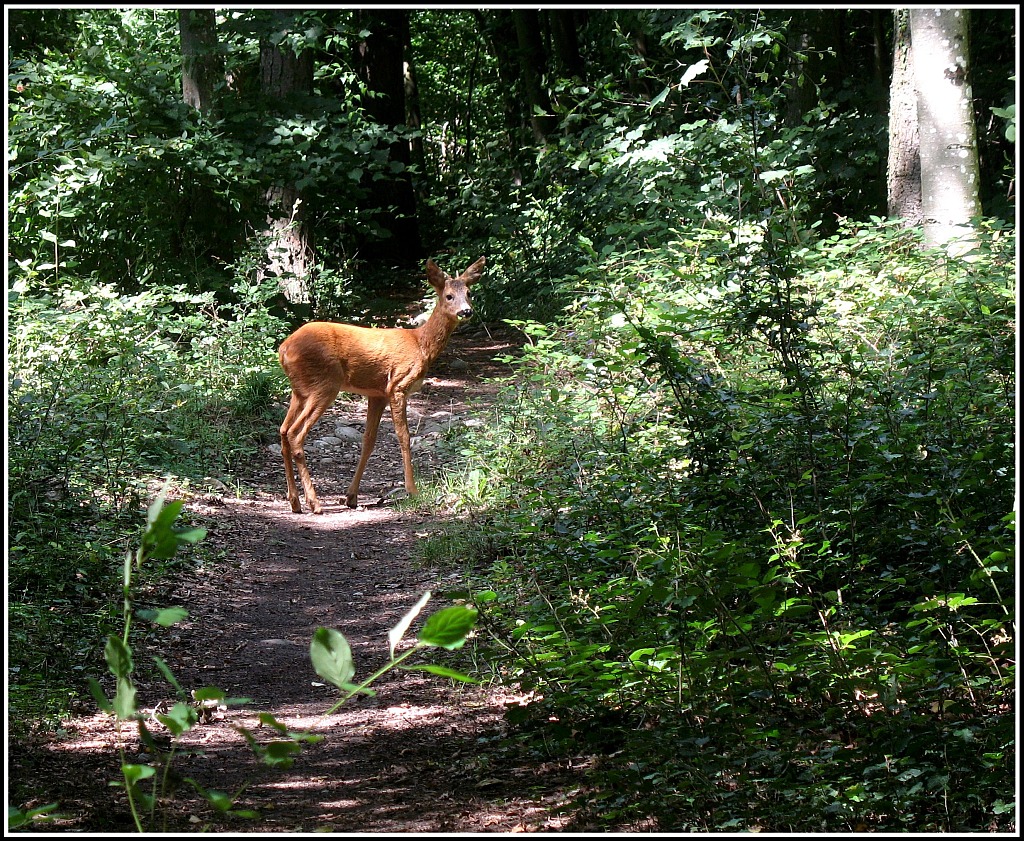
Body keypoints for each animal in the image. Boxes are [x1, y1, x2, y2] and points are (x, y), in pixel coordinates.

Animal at [278, 256, 485, 512]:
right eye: (448, 296)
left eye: (469, 293)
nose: (466, 311)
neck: (421, 344)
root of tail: (283, 350)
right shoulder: (397, 385)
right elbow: (404, 436)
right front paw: (412, 490)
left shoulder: (377, 393)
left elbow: (368, 440)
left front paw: (351, 496)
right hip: (325, 385)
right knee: (295, 434)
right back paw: (314, 502)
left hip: (300, 391)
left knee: (283, 431)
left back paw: (295, 501)